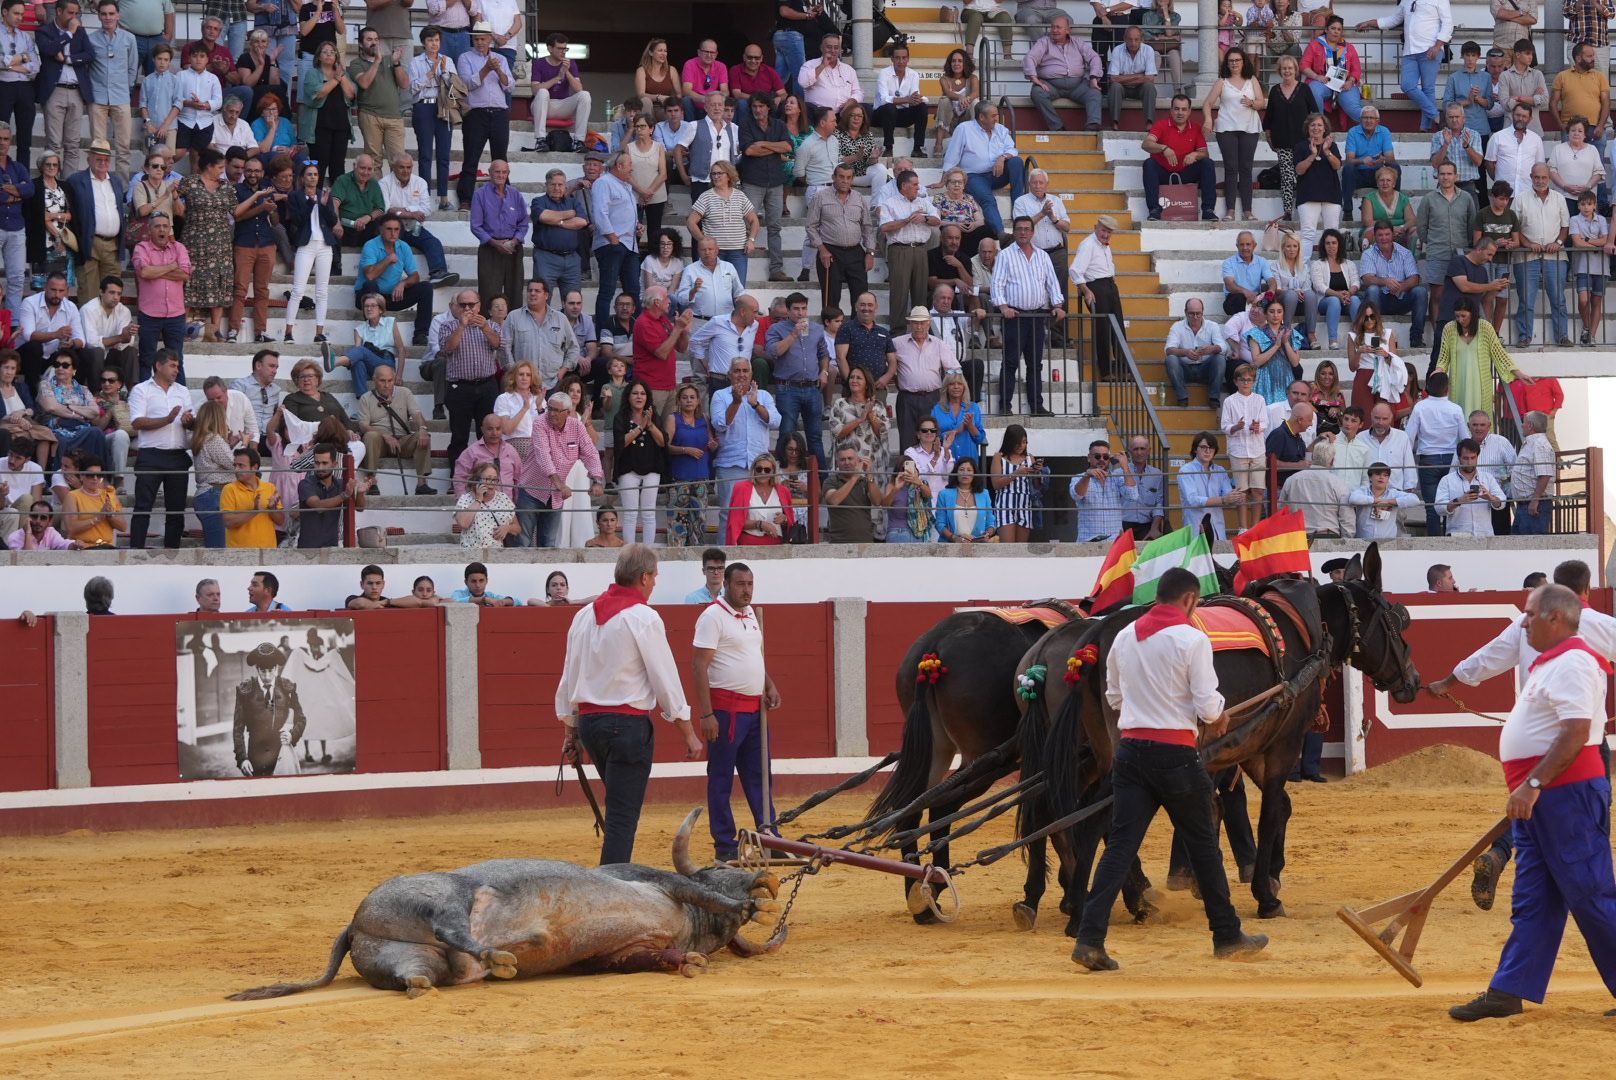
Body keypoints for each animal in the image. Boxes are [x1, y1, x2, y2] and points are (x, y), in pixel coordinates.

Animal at [229, 805, 782, 1002]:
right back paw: (500, 955)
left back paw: (436, 982)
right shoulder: (655, 881)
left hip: (402, 956)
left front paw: (688, 961)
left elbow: (652, 958)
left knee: (418, 971)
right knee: (454, 927)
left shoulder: (618, 955)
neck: (691, 924)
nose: (760, 881)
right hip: (446, 898)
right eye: (725, 868)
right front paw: (758, 900)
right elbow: (701, 890)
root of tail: (351, 923)